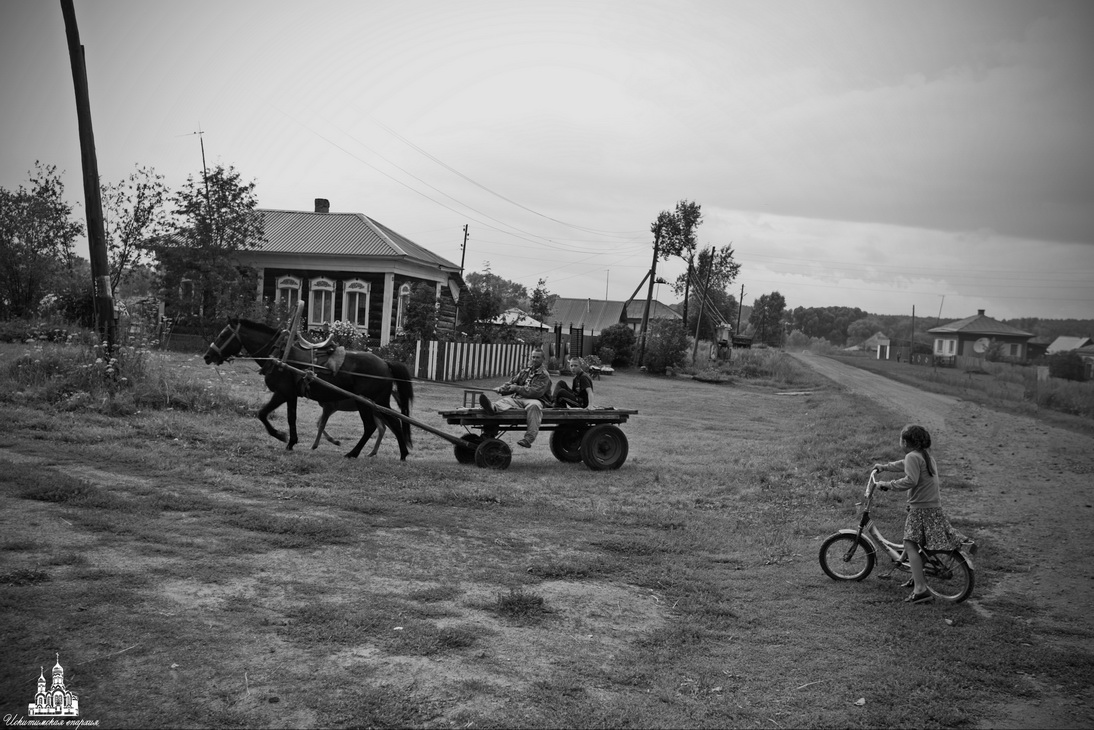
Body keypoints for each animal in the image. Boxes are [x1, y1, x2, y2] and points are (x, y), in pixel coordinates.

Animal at [203, 319, 414, 459]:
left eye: (223, 335)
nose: (207, 356)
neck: (279, 355)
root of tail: (385, 363)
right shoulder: (291, 395)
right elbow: (291, 417)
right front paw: (291, 441)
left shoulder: (282, 393)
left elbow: (262, 413)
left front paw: (281, 436)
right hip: (378, 402)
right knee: (395, 423)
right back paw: (403, 453)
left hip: (366, 402)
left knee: (372, 427)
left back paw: (353, 453)